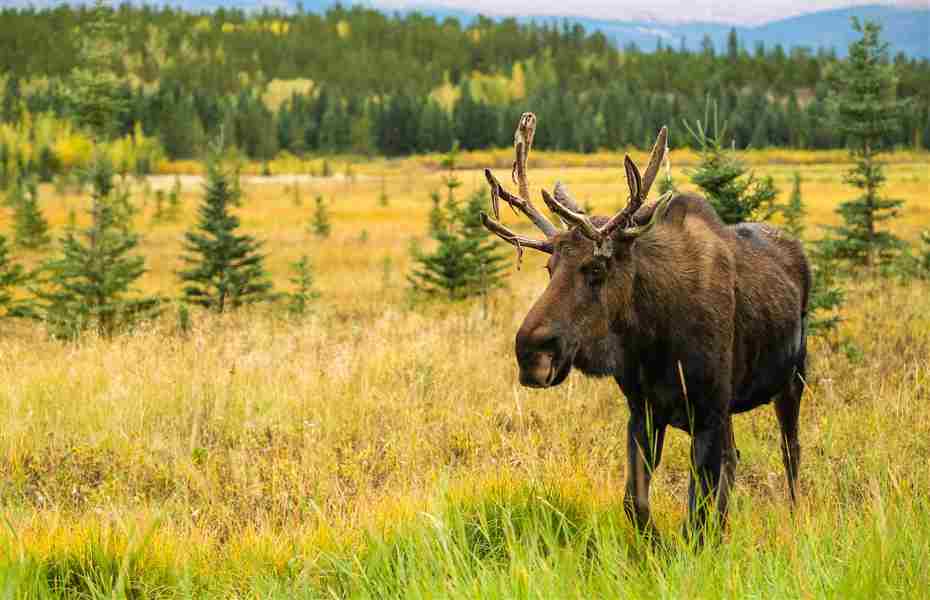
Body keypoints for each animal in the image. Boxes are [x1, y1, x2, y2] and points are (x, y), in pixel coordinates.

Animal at [482, 112, 808, 540]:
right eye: (550, 268)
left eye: (596, 268)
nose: (530, 353)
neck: (655, 340)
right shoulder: (644, 410)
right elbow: (635, 503)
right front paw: (657, 545)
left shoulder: (708, 408)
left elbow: (696, 514)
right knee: (735, 458)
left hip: (792, 380)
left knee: (790, 453)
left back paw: (794, 514)